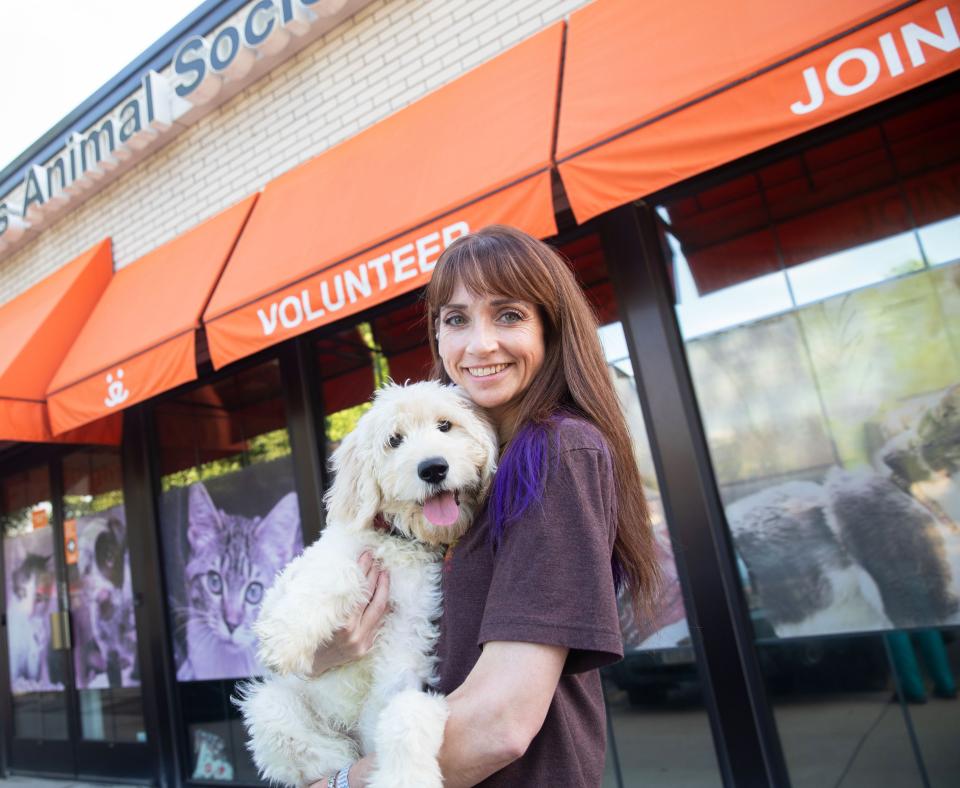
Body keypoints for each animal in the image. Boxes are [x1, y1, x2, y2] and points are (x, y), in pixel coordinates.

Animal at [236, 378, 498, 784]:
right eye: (394, 440)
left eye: (445, 426)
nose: (433, 468)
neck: (398, 541)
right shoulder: (286, 586)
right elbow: (338, 572)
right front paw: (286, 639)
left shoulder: (406, 643)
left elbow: (407, 712)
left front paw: (405, 776)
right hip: (269, 704)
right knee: (311, 748)